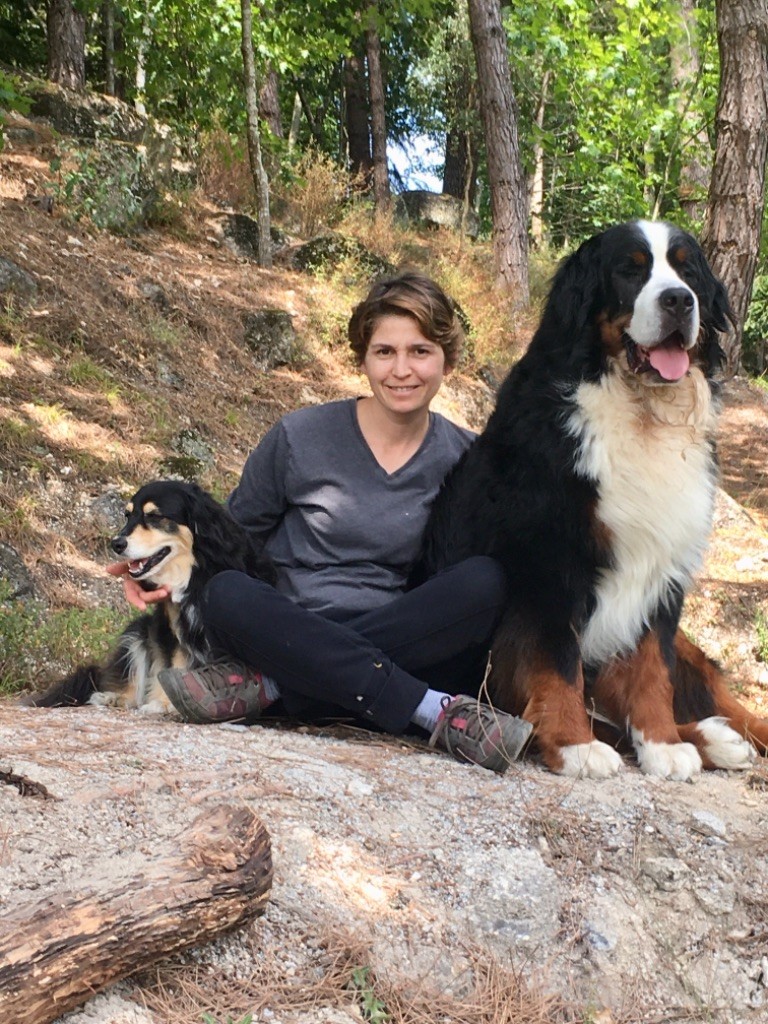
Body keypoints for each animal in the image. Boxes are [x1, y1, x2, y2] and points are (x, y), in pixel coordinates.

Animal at [24, 479, 276, 712]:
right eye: (127, 515)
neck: (196, 570)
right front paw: (165, 702)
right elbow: (174, 663)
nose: (116, 543)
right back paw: (114, 697)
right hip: (138, 632)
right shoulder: (172, 629)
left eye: (154, 516)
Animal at [411, 220, 768, 778]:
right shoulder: (550, 558)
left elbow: (651, 668)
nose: (679, 301)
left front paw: (662, 743)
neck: (640, 412)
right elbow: (557, 661)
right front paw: (574, 744)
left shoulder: (663, 566)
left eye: (687, 271)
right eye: (630, 270)